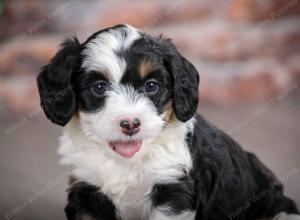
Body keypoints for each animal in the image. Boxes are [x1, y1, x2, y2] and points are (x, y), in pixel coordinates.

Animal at [36, 23, 298, 219]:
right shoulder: (86, 191)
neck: (129, 162)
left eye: (151, 86)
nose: (130, 124)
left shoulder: (173, 192)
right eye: (99, 87)